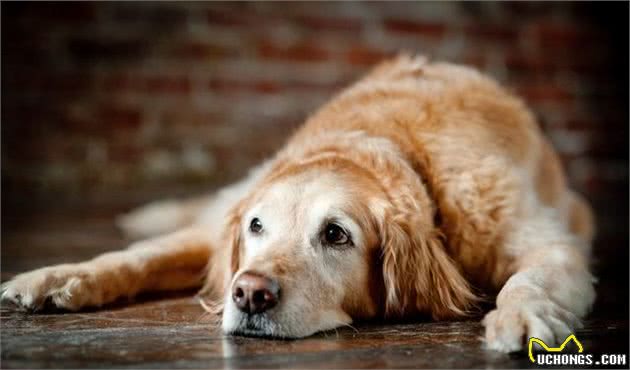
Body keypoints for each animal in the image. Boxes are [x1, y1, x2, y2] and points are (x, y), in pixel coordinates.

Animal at [0, 55, 596, 352]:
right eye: (257, 227)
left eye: (336, 234)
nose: (249, 294)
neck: (393, 145)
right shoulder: (223, 230)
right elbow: (139, 257)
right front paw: (58, 277)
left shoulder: (549, 243)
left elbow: (529, 279)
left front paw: (518, 317)